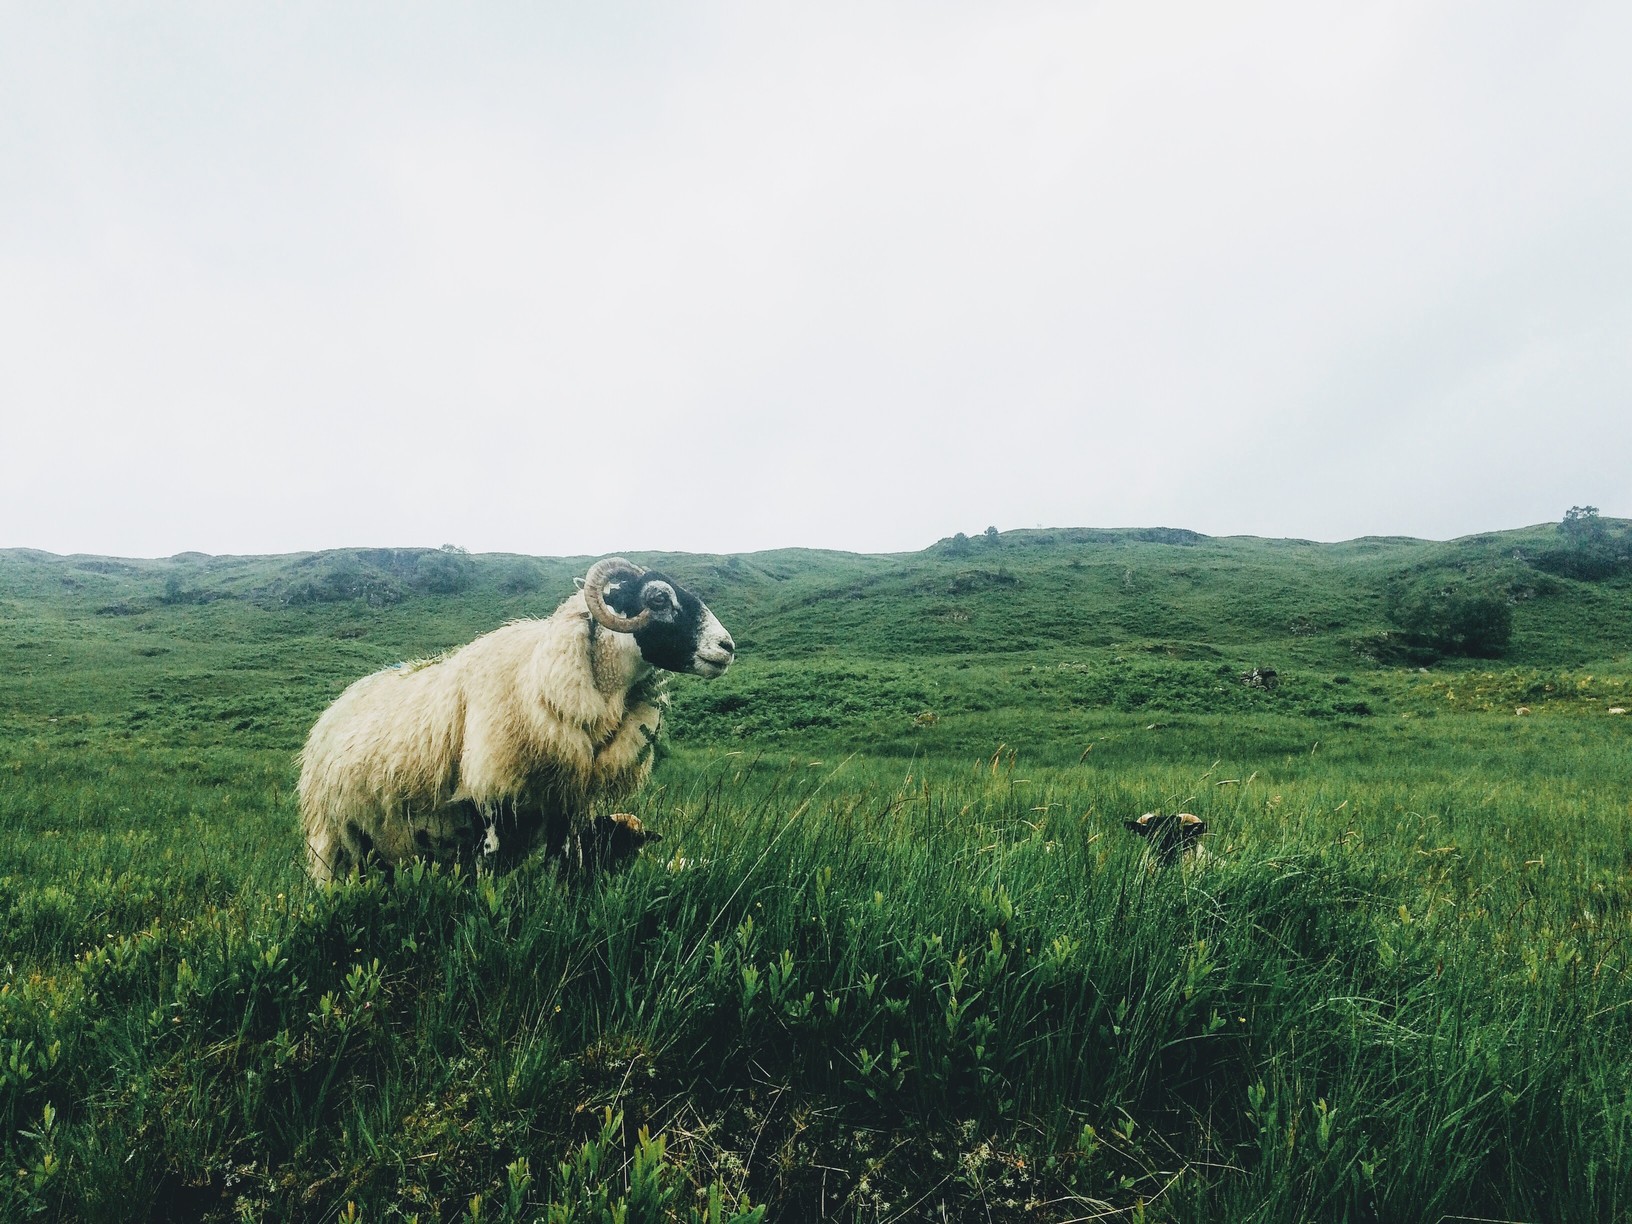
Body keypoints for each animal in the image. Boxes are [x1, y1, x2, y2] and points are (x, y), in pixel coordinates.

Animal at [297, 554, 737, 881]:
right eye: (659, 599)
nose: (727, 647)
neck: (540, 672)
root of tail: (335, 707)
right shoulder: (491, 794)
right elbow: (490, 868)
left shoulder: (566, 800)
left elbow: (565, 864)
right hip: (337, 836)